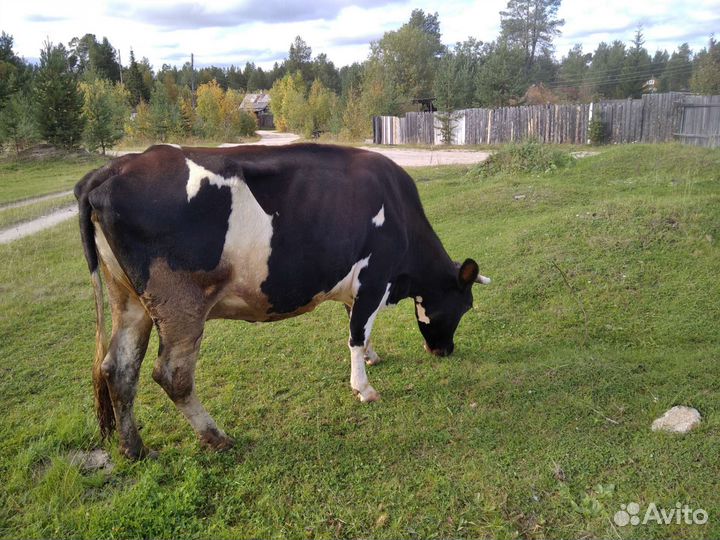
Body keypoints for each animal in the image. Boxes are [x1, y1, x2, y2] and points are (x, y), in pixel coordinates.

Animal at [74, 143, 490, 459]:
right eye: (463, 307)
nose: (445, 350)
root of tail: (116, 167)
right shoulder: (375, 276)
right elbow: (356, 332)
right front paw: (363, 387)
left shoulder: (358, 286)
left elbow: (356, 323)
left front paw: (372, 357)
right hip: (180, 304)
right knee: (172, 374)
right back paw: (217, 437)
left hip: (129, 300)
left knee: (118, 368)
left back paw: (135, 449)